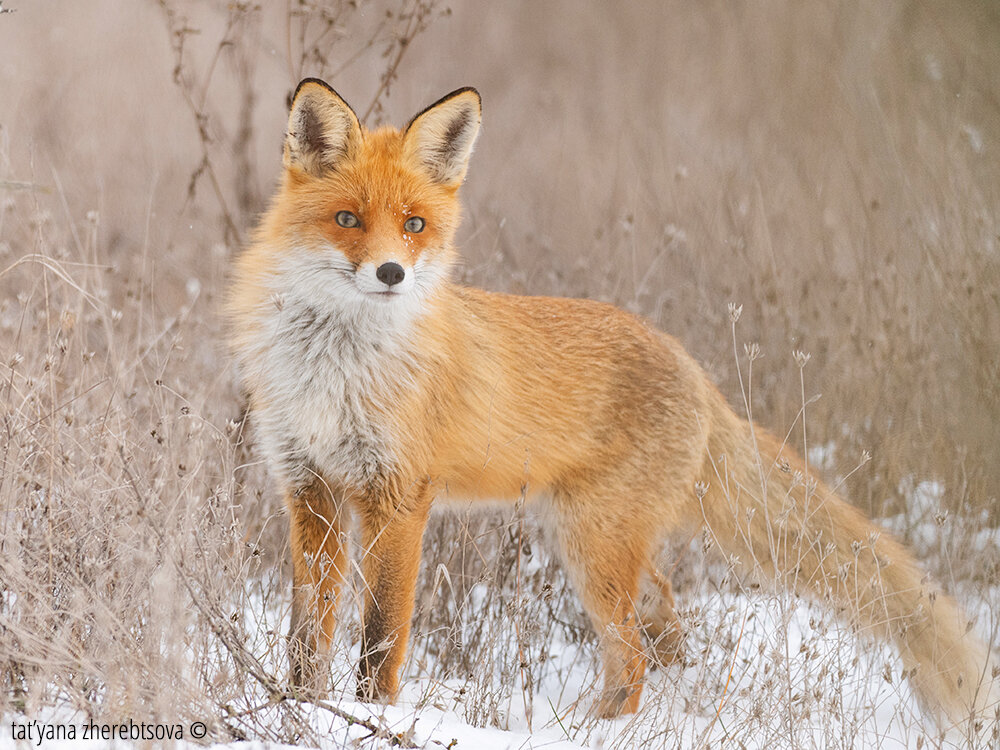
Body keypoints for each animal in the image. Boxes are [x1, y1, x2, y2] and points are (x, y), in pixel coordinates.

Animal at [229, 79, 1000, 732]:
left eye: (414, 225)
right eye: (348, 219)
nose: (390, 273)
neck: (336, 370)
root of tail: (695, 370)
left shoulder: (399, 499)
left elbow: (380, 639)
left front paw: (369, 717)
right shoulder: (312, 491)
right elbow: (307, 633)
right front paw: (297, 705)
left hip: (592, 547)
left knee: (630, 653)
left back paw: (603, 732)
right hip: (589, 539)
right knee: (662, 621)